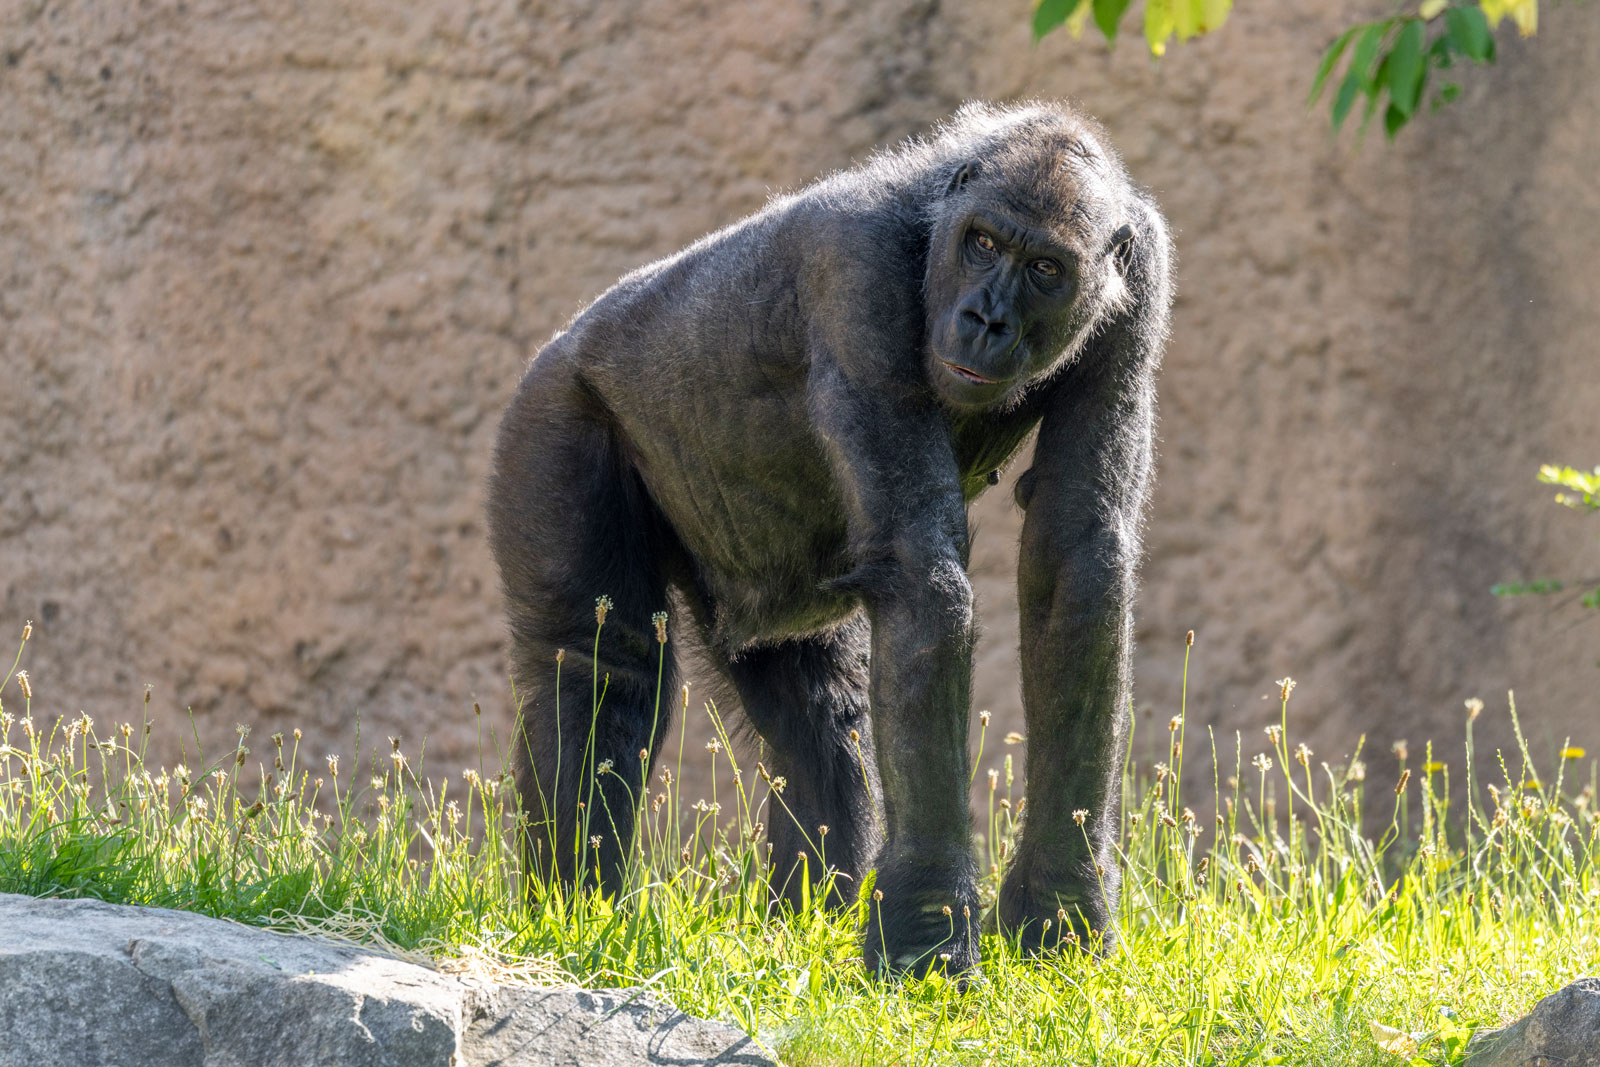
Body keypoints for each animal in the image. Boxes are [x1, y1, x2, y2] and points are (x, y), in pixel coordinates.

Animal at [487, 101, 1172, 977]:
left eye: (1046, 268)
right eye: (983, 243)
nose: (986, 319)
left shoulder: (1140, 286)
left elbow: (1074, 561)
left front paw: (1061, 903)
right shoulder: (857, 274)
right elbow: (925, 581)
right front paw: (926, 926)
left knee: (815, 708)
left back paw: (800, 917)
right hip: (550, 415)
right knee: (601, 665)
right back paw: (574, 907)